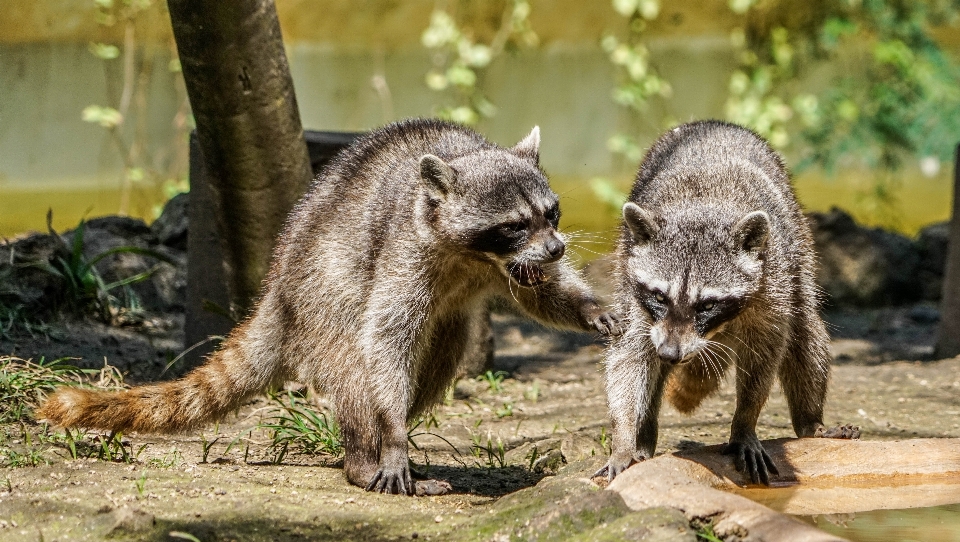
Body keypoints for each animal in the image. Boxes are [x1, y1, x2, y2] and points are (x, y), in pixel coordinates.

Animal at [37, 119, 624, 498]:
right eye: (514, 225)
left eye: (552, 214)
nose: (558, 248)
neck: (475, 255)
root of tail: (277, 292)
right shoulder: (405, 247)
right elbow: (385, 335)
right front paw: (392, 437)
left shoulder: (512, 264)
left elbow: (540, 291)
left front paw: (587, 305)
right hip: (322, 298)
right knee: (360, 365)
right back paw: (368, 455)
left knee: (439, 353)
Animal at [596, 121, 860, 486]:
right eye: (660, 296)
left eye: (707, 304)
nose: (671, 353)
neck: (701, 207)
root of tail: (711, 123)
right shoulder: (634, 290)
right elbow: (630, 354)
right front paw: (623, 437)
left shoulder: (771, 282)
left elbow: (764, 353)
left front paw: (744, 422)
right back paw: (644, 435)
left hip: (798, 247)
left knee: (805, 330)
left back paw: (810, 422)